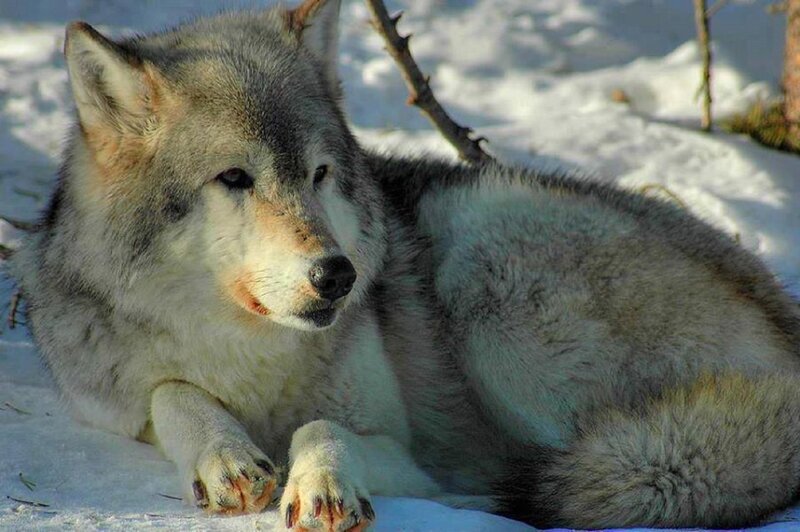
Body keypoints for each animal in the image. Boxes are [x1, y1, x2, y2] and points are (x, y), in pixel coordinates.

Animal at [10, 0, 800, 529]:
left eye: (320, 174)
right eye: (235, 178)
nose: (338, 276)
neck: (252, 356)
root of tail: (785, 324)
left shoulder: (401, 448)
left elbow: (321, 428)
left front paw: (320, 481)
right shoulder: (108, 398)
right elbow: (170, 392)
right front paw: (226, 457)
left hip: (485, 256)